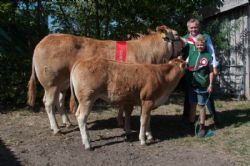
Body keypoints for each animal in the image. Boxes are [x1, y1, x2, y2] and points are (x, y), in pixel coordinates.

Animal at [27, 25, 188, 134]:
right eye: (177, 35)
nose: (186, 43)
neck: (149, 55)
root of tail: (44, 40)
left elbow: (122, 105)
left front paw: (120, 121)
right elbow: (126, 107)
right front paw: (124, 124)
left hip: (63, 83)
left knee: (59, 101)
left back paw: (67, 123)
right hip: (51, 82)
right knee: (48, 102)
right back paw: (56, 128)